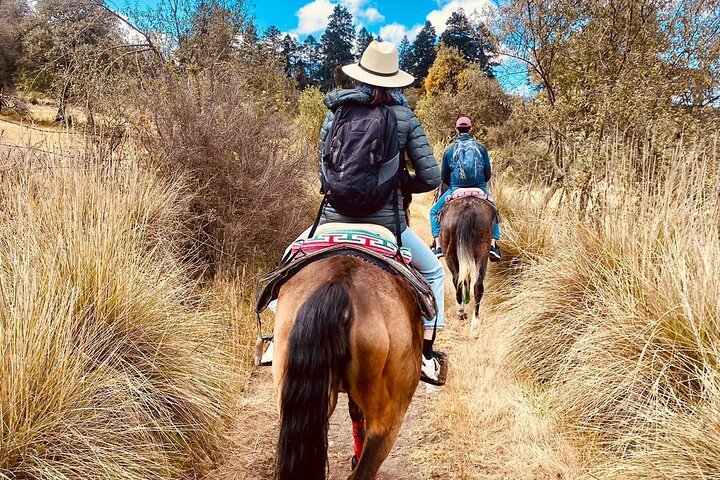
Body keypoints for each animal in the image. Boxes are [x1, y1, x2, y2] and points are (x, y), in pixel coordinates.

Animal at [438, 196, 496, 330]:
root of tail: (467, 209)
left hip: (449, 253)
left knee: (456, 280)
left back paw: (461, 311)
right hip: (482, 251)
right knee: (477, 285)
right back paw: (475, 322)